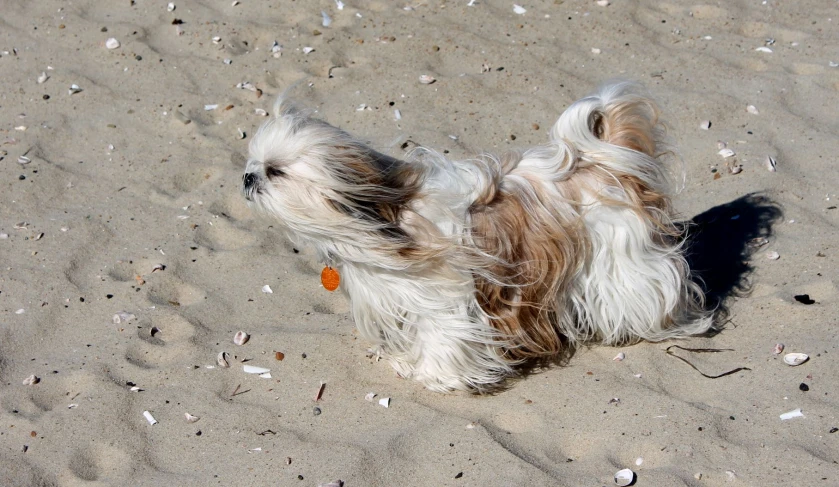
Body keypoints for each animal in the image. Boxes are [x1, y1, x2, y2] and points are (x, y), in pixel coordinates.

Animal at [243, 80, 716, 392]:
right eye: (254, 164)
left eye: (275, 171)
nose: (248, 178)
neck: (385, 216)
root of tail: (604, 164)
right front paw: (402, 358)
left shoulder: (445, 301)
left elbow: (443, 337)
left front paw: (432, 374)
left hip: (620, 261)